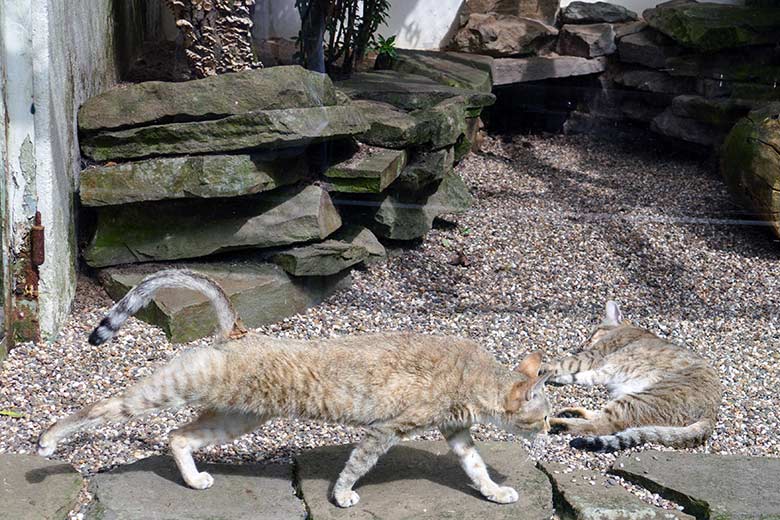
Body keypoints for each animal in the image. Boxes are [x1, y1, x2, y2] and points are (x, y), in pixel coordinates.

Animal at [39, 270, 552, 506]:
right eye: (545, 414)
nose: (551, 430)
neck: (474, 373)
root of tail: (237, 331)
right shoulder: (384, 430)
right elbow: (356, 466)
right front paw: (342, 497)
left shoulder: (458, 434)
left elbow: (477, 468)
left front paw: (496, 493)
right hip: (171, 389)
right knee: (100, 408)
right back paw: (47, 440)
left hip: (236, 418)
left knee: (178, 436)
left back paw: (194, 478)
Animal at [544, 300, 720, 450]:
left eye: (593, 333)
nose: (582, 345)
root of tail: (712, 412)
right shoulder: (601, 369)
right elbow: (578, 376)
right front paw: (558, 377)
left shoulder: (595, 355)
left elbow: (563, 363)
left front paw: (543, 369)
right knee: (601, 419)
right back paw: (571, 412)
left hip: (639, 399)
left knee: (600, 425)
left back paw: (555, 423)